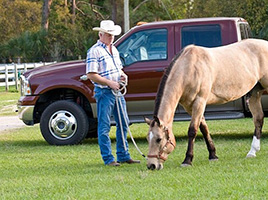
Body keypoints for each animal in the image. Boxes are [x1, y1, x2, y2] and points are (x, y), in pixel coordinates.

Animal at [146, 38, 268, 170]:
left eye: (159, 139)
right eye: (148, 138)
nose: (151, 165)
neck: (189, 67)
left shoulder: (200, 101)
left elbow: (192, 130)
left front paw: (187, 160)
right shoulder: (190, 106)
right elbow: (204, 128)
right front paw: (213, 155)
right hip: (255, 93)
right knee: (258, 119)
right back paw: (252, 152)